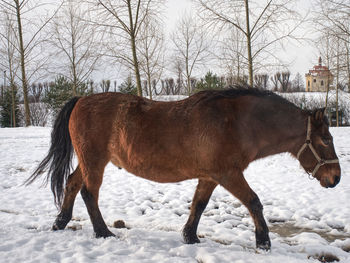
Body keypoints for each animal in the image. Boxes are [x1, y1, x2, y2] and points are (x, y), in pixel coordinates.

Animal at [26, 86, 340, 252]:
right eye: (326, 139)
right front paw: (263, 242)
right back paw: (102, 232)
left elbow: (198, 205)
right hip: (94, 161)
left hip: (88, 161)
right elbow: (254, 202)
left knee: (71, 184)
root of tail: (81, 99)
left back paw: (61, 222)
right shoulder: (228, 174)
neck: (236, 123)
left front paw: (190, 237)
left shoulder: (209, 177)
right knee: (89, 193)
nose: (335, 178)